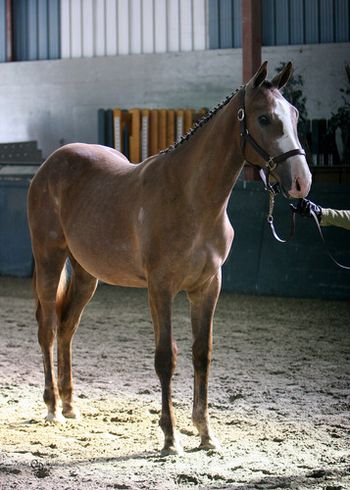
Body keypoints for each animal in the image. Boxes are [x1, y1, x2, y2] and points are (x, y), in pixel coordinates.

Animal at [27, 61, 312, 456]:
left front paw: (206, 434)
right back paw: (53, 407)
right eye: (265, 118)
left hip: (86, 274)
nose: (301, 182)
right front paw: (170, 437)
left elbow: (201, 354)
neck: (190, 197)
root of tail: (49, 165)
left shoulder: (207, 287)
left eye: (295, 115)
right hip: (49, 259)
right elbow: (166, 358)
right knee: (49, 327)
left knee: (68, 327)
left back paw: (70, 405)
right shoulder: (161, 288)